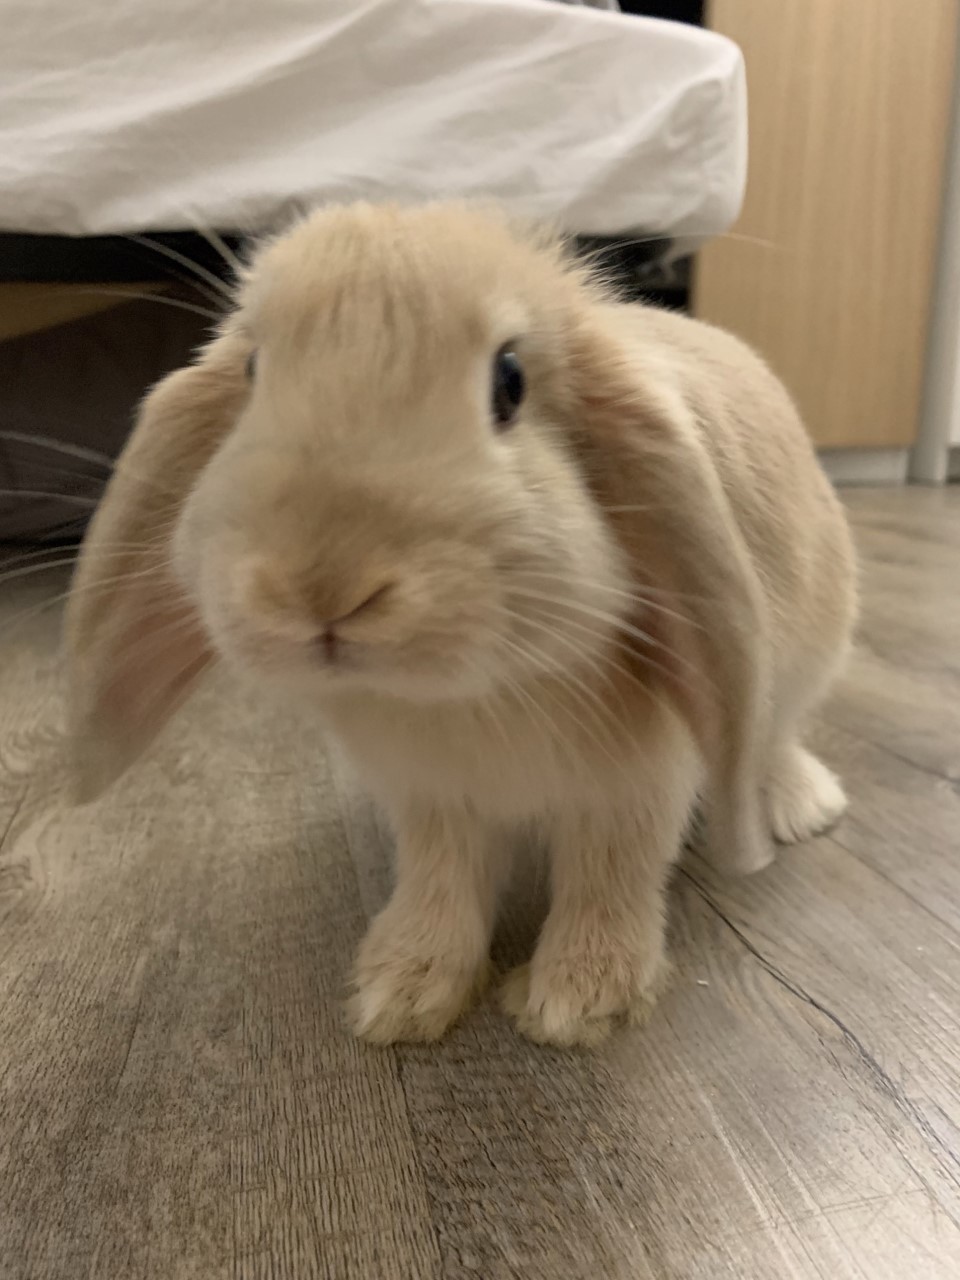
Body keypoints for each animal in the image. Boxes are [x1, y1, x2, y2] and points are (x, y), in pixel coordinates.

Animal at [65, 202, 857, 1047]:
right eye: (251, 373)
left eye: (510, 381)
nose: (321, 588)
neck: (474, 694)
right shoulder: (433, 800)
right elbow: (440, 881)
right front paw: (402, 994)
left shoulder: (634, 789)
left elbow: (609, 874)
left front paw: (577, 1004)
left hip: (806, 659)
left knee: (774, 739)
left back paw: (801, 809)